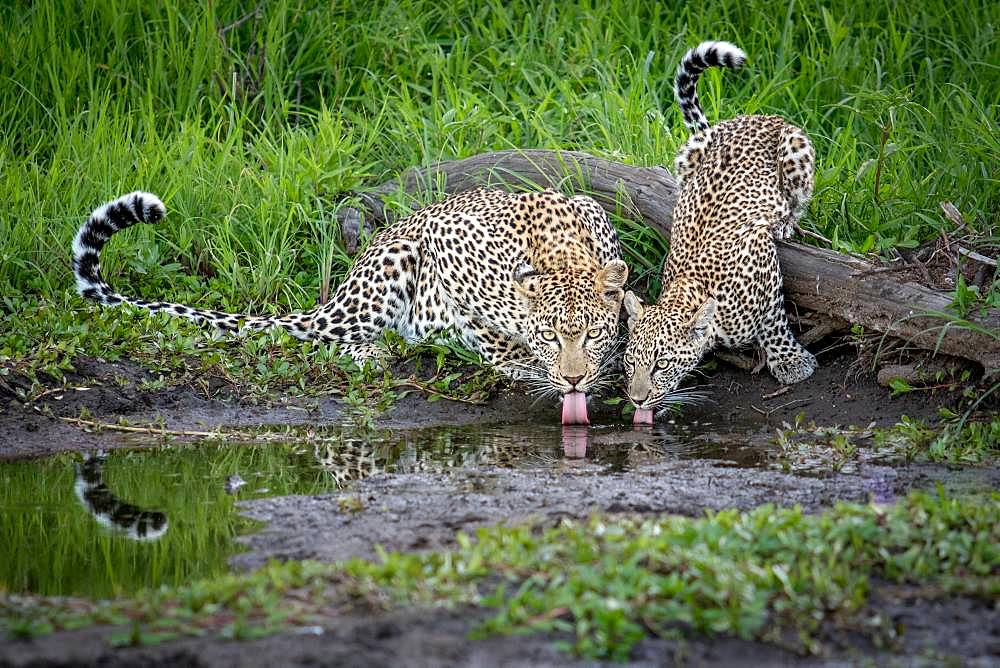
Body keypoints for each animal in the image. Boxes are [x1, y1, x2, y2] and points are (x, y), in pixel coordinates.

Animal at [72, 187, 624, 422]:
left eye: (593, 334)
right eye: (551, 335)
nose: (575, 380)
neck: (560, 248)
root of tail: (343, 287)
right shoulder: (448, 242)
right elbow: (491, 324)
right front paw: (524, 362)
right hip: (388, 271)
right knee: (329, 341)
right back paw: (375, 353)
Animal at [624, 41, 820, 422]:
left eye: (661, 365)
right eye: (629, 362)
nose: (636, 400)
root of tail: (750, 117)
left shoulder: (760, 254)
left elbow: (774, 320)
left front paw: (790, 362)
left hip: (796, 148)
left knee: (797, 201)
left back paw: (788, 221)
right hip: (689, 152)